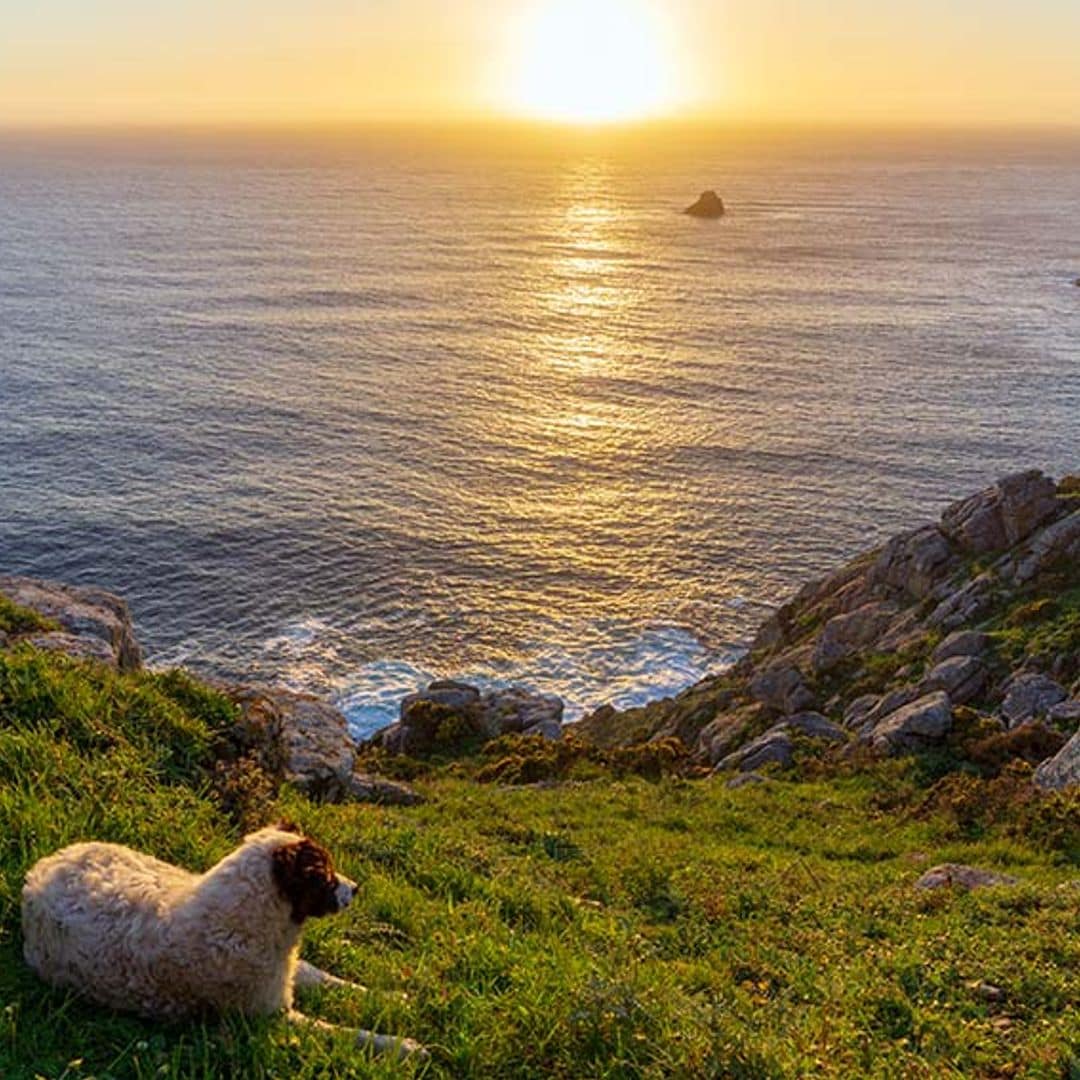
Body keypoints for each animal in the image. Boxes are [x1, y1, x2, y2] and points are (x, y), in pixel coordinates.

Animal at [19, 820, 425, 1058]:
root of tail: (41, 867)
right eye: (323, 874)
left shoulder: (283, 974)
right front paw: (403, 1045)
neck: (239, 916)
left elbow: (331, 979)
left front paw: (395, 998)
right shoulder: (270, 1015)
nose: (355, 889)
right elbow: (342, 1032)